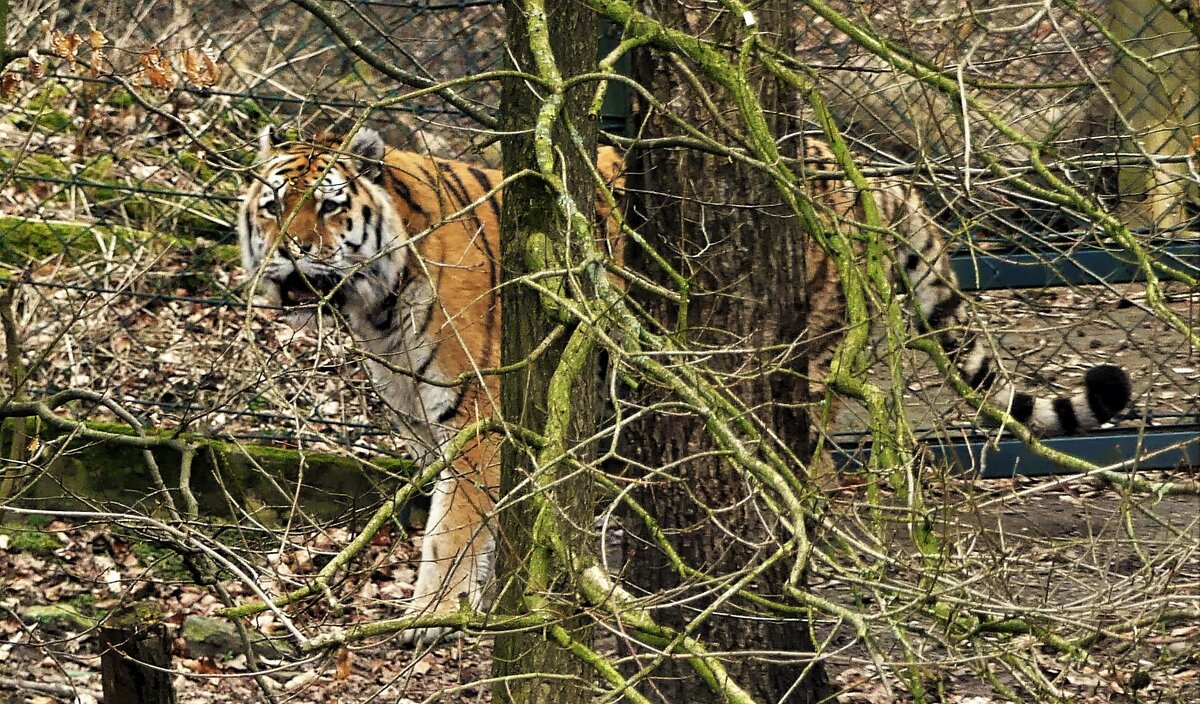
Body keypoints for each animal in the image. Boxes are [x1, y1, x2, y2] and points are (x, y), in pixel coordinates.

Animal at [238, 128, 1128, 642]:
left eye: (329, 208)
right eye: (273, 205)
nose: (287, 252)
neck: (373, 305)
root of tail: (868, 175)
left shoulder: (479, 416)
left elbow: (453, 527)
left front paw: (432, 617)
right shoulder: (427, 421)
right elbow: (479, 524)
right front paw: (484, 603)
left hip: (792, 367)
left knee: (814, 475)